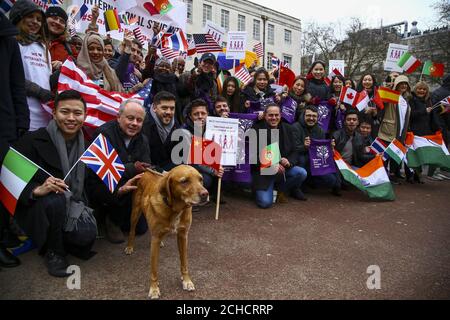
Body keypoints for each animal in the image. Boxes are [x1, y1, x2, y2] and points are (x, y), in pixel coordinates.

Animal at [123, 166, 207, 298]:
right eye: (184, 181)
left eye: (201, 179)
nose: (205, 194)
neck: (175, 209)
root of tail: (146, 171)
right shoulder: (155, 240)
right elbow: (154, 270)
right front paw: (154, 289)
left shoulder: (183, 236)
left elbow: (184, 263)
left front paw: (187, 280)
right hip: (135, 212)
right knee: (132, 230)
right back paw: (130, 247)